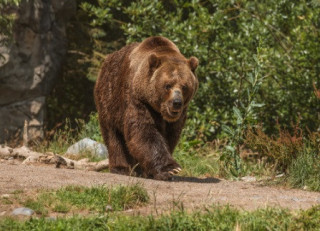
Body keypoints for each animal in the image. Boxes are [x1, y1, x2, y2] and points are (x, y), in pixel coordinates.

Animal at [94, 36, 198, 180]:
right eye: (168, 85)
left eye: (184, 86)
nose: (176, 102)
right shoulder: (138, 100)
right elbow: (144, 131)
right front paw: (170, 169)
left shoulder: (178, 117)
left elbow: (171, 136)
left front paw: (153, 171)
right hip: (109, 98)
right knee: (113, 135)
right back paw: (121, 168)